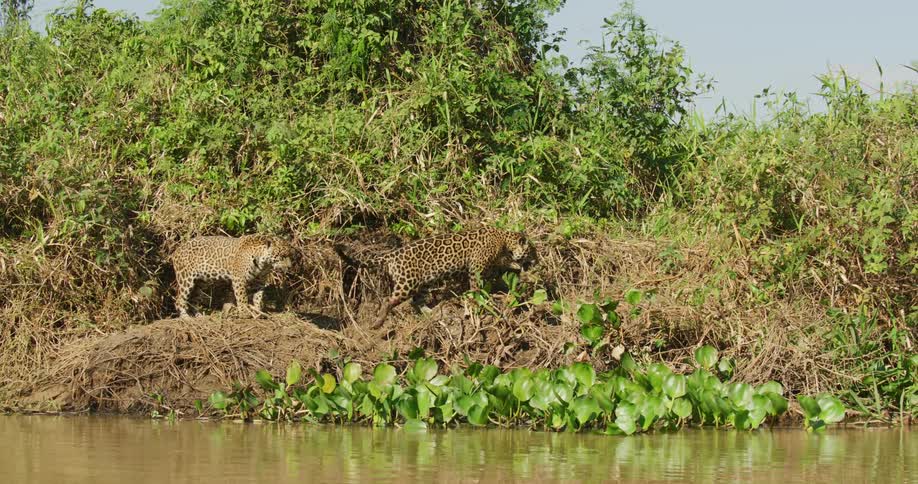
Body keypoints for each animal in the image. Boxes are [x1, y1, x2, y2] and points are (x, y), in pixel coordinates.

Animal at [334, 226, 532, 329]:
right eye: (532, 252)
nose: (535, 261)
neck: (503, 239)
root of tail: (391, 255)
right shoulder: (477, 266)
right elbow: (476, 285)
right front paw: (477, 298)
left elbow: (503, 264)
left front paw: (515, 266)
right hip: (407, 283)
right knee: (389, 300)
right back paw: (378, 321)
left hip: (423, 282)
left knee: (416, 301)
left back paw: (431, 312)